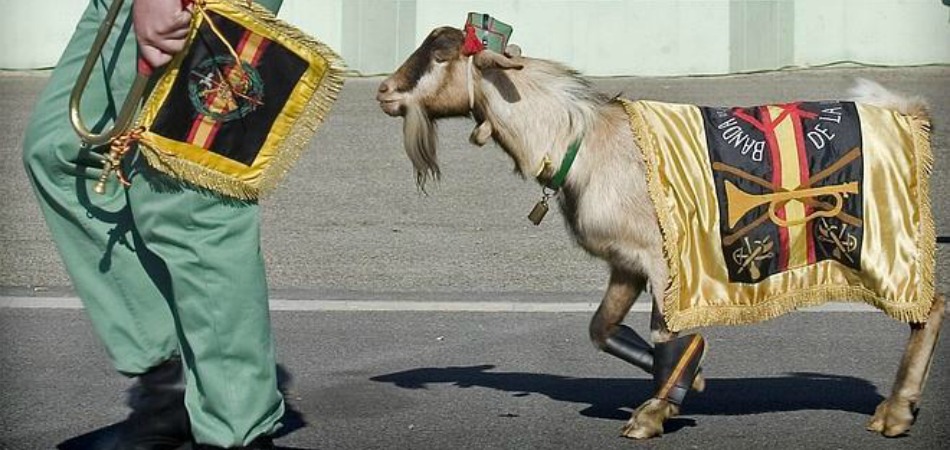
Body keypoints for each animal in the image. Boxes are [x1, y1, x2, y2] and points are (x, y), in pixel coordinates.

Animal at [378, 25, 944, 440]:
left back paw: (896, 412)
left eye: (442, 55)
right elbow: (602, 329)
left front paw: (654, 411)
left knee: (930, 306)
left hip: (879, 244)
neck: (583, 142)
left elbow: (663, 332)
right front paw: (691, 377)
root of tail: (911, 115)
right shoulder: (624, 263)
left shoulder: (662, 259)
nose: (385, 91)